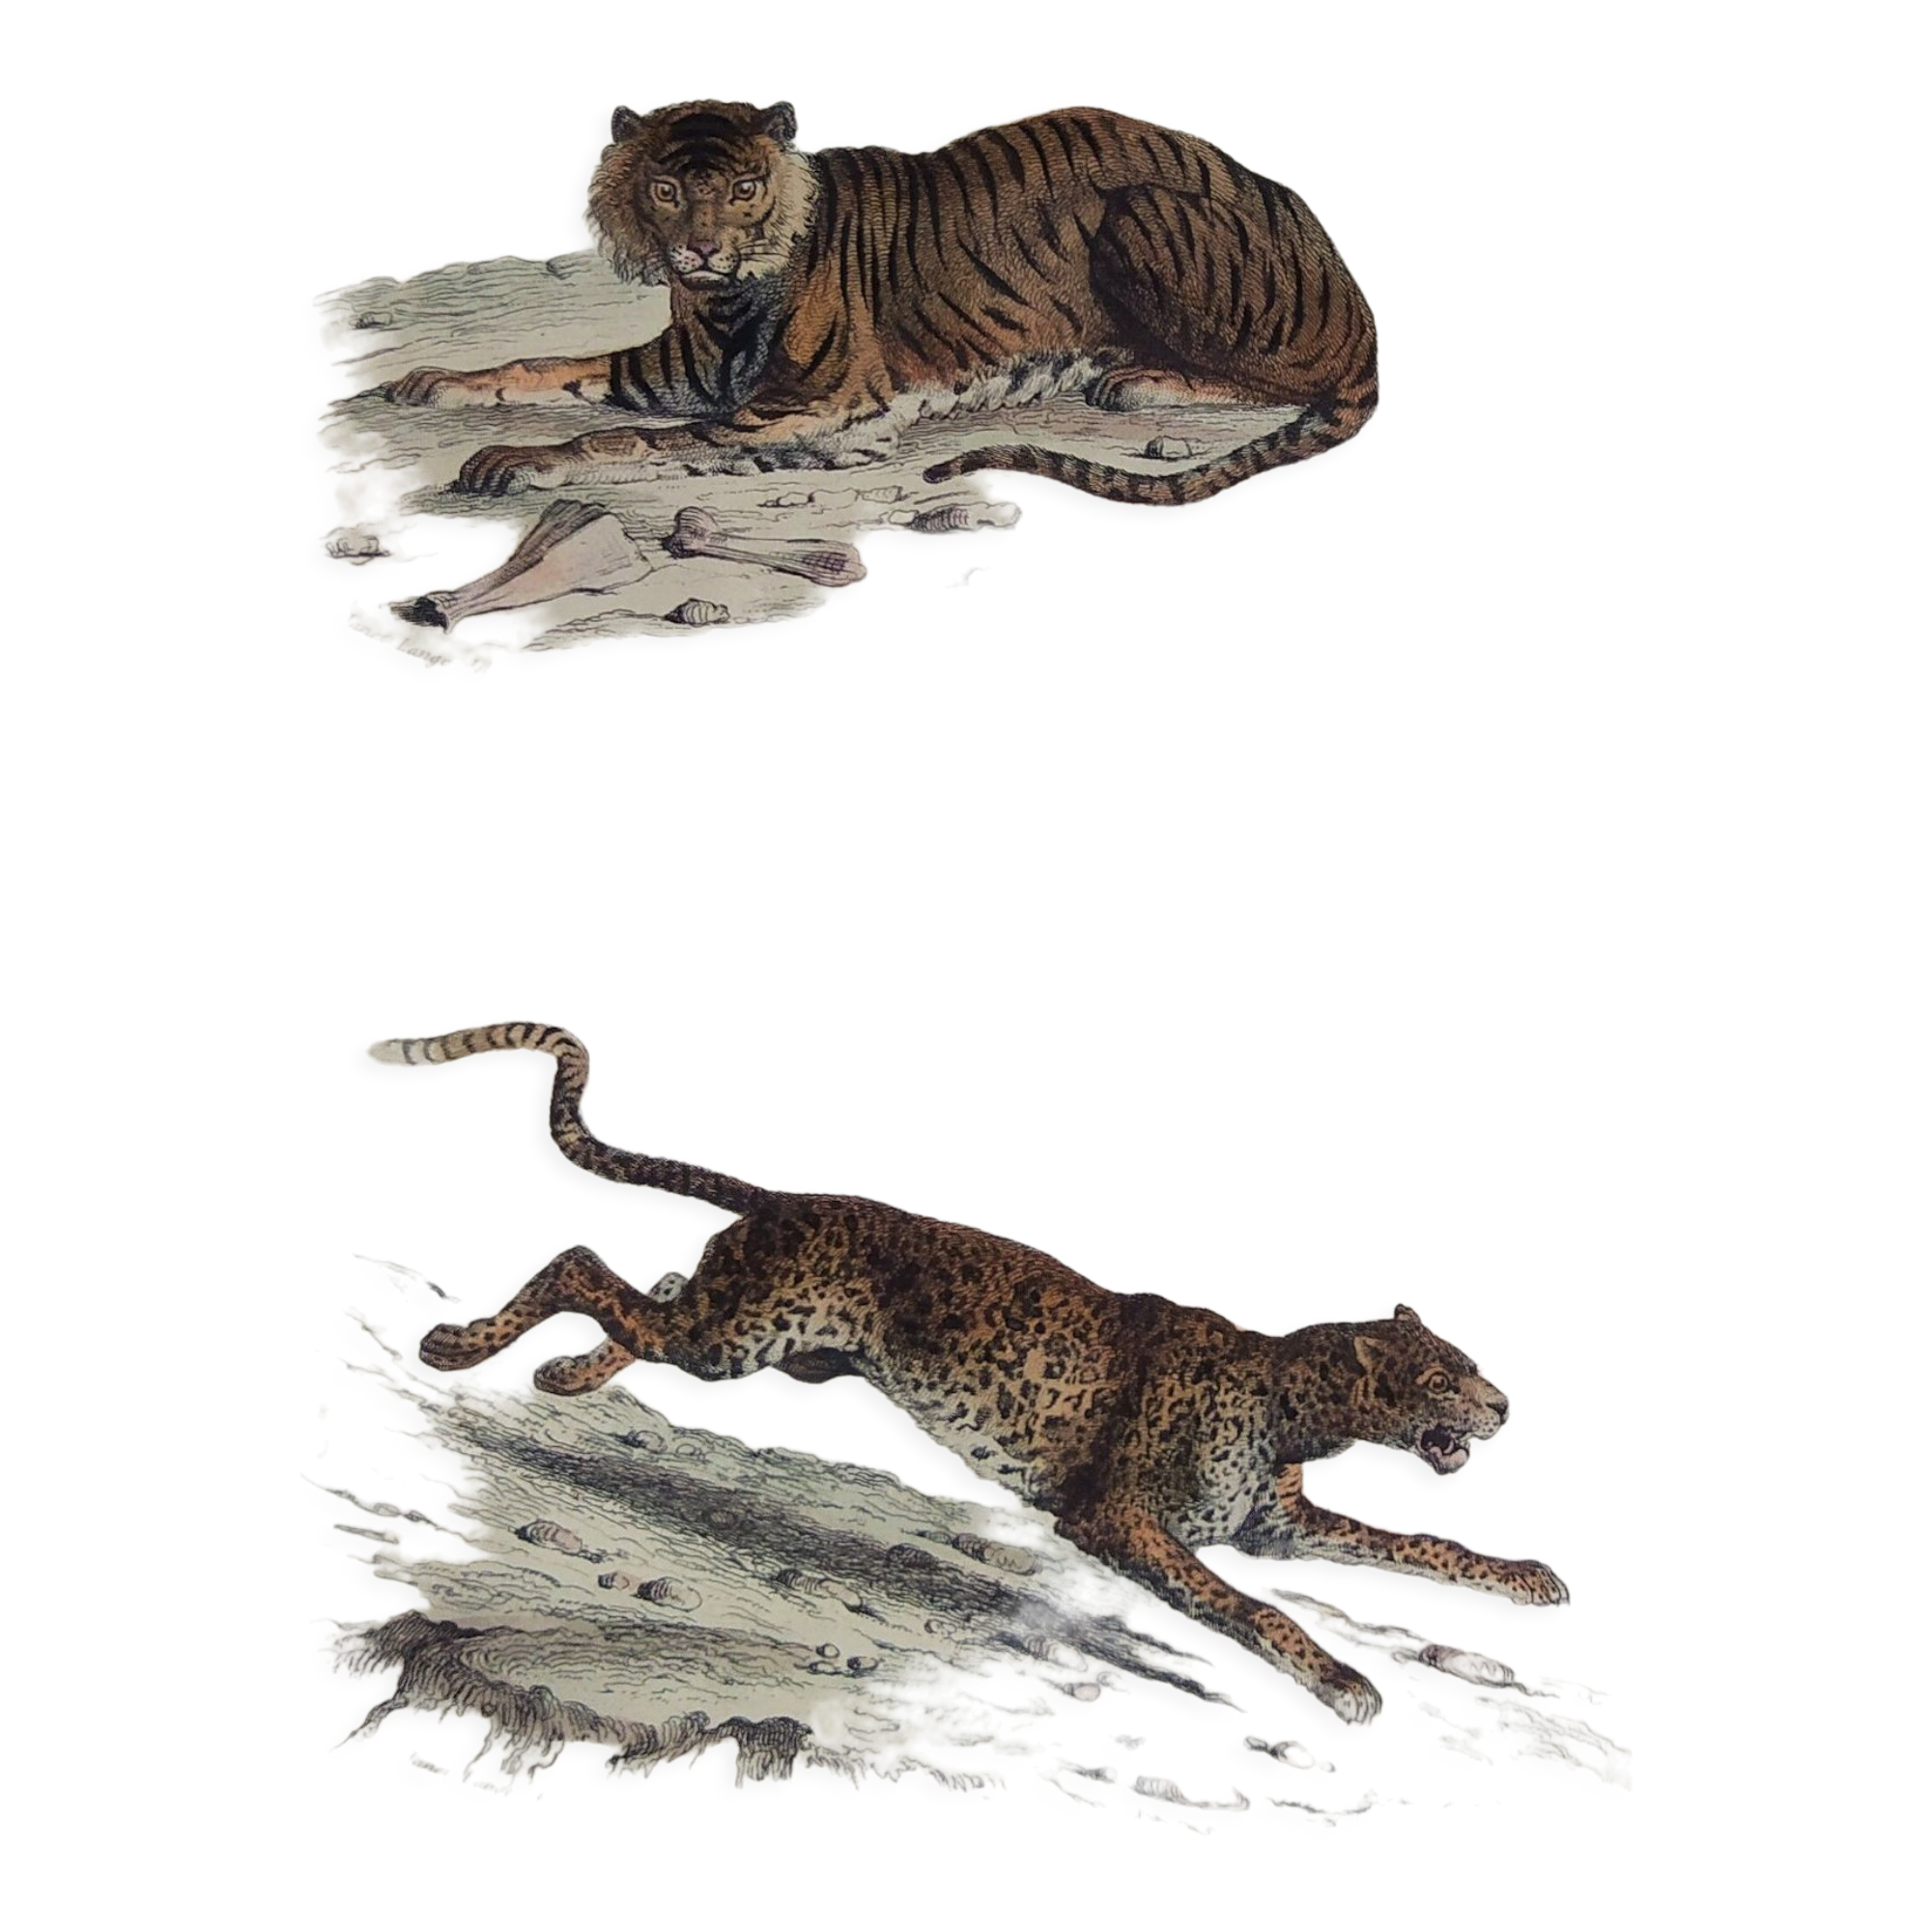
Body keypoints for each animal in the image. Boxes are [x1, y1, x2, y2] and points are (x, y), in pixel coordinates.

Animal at [388, 98, 1379, 507]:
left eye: (743, 188)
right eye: (666, 191)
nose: (698, 247)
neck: (722, 298)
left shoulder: (813, 406)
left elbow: (620, 439)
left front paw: (512, 460)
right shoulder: (684, 372)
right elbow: (546, 364)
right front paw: (428, 381)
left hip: (1142, 214)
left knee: (1289, 380)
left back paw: (1140, 382)